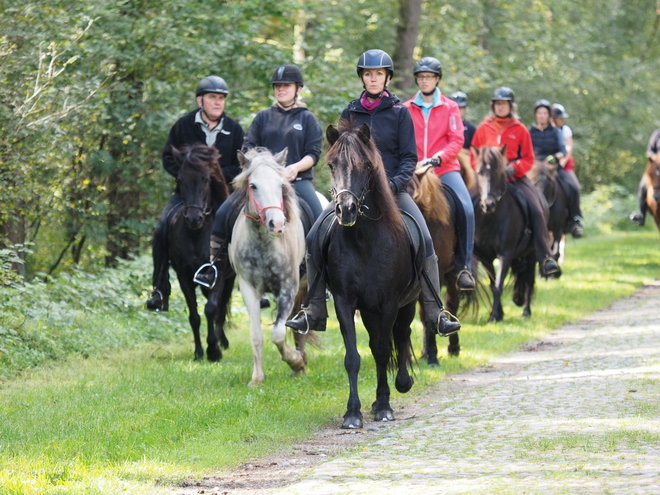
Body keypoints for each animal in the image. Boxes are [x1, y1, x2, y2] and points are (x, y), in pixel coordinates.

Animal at [168, 143, 232, 360]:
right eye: (180, 179)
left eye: (206, 179)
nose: (194, 219)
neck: (198, 236)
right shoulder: (185, 277)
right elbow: (194, 315)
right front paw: (198, 352)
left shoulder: (217, 275)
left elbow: (211, 309)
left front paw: (213, 350)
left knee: (221, 308)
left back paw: (222, 342)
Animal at [229, 148, 306, 388]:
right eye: (253, 185)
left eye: (281, 184)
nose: (277, 224)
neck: (264, 244)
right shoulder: (248, 289)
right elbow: (257, 335)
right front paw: (257, 378)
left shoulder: (288, 289)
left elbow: (278, 333)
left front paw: (295, 361)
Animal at [324, 123, 418, 430]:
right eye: (331, 164)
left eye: (365, 165)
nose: (346, 210)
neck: (364, 241)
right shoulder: (345, 302)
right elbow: (353, 356)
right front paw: (352, 413)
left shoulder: (389, 303)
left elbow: (381, 350)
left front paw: (385, 406)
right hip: (367, 310)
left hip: (407, 304)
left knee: (401, 335)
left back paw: (401, 383)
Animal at [470, 145, 536, 324]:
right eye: (479, 172)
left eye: (500, 172)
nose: (488, 204)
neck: (491, 219)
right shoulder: (485, 257)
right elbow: (493, 285)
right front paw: (497, 314)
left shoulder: (505, 255)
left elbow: (499, 285)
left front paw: (494, 316)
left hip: (531, 254)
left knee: (529, 280)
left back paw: (526, 311)